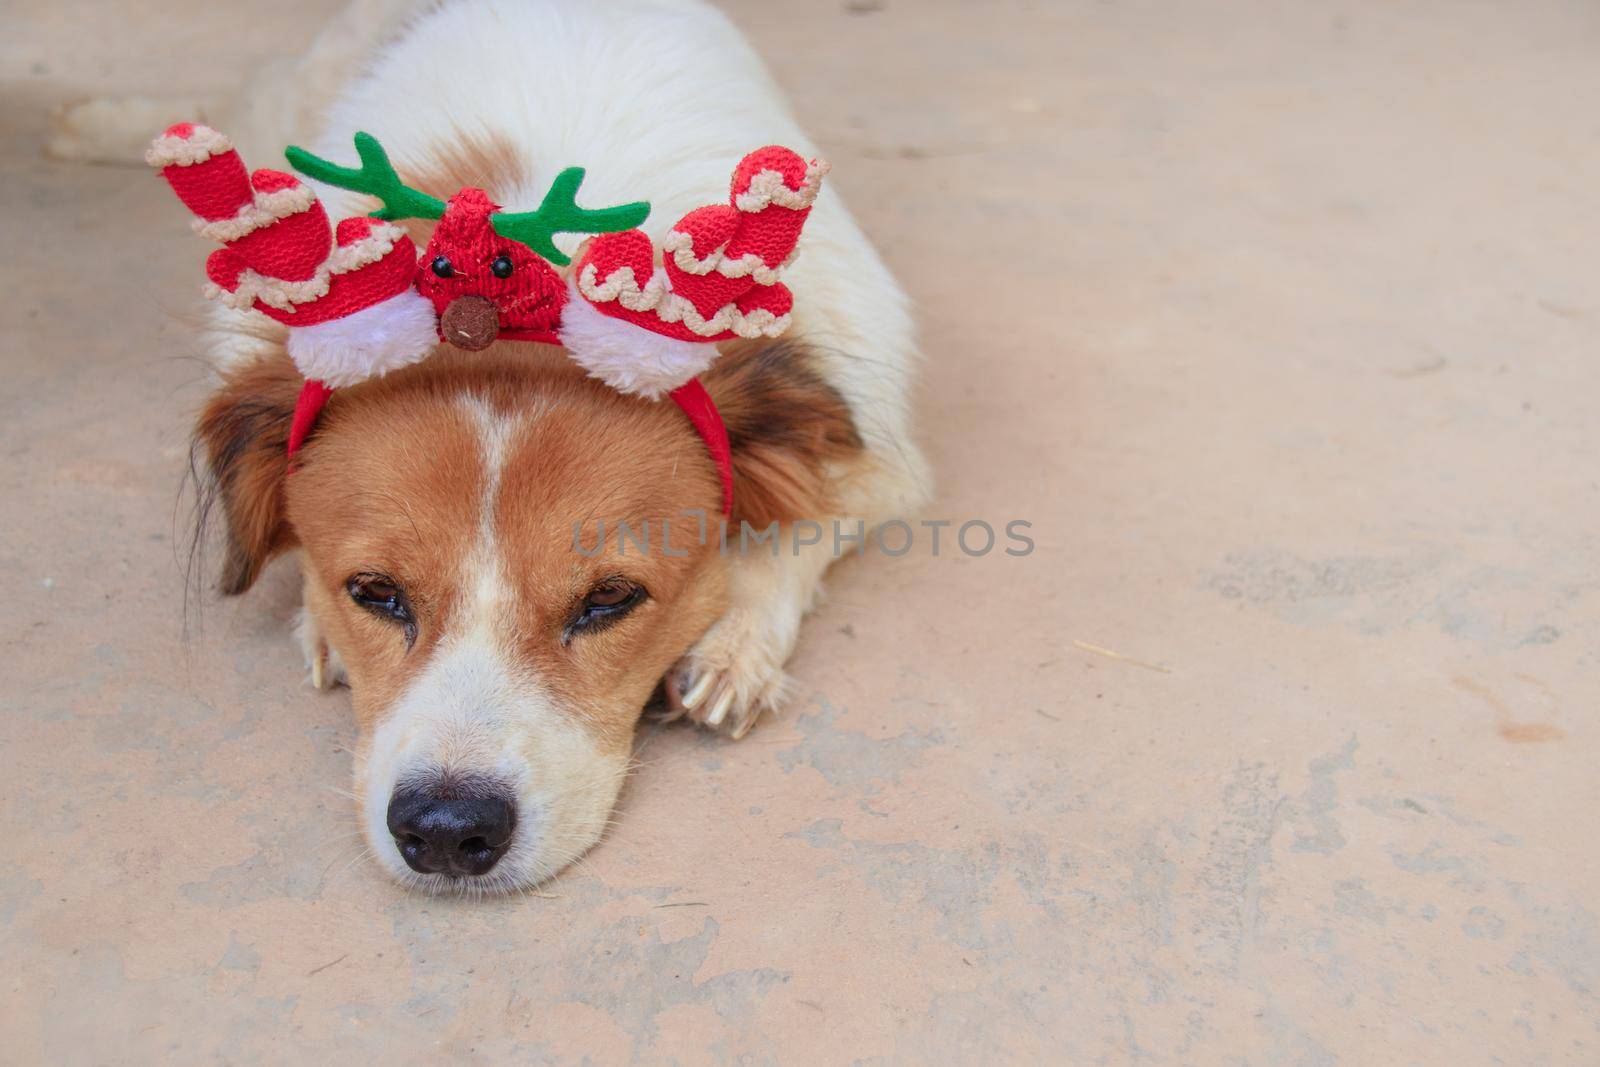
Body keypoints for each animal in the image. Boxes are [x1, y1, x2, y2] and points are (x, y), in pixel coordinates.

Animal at [144, 0, 934, 895]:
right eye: (374, 591)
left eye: (610, 597)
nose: (446, 830)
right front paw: (316, 622)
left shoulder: (884, 447)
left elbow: (809, 517)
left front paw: (733, 642)